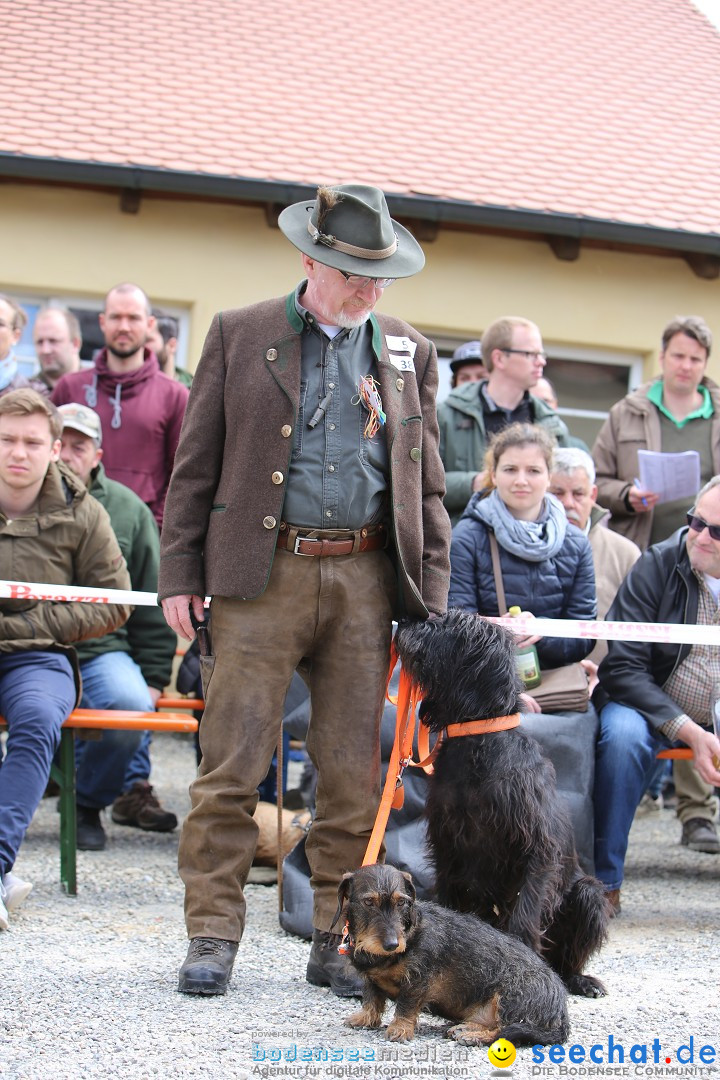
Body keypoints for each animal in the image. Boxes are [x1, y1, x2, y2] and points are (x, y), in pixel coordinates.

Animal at [336, 859, 569, 1045]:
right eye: (368, 902)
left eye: (401, 902)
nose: (392, 944)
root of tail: (561, 1011)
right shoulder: (371, 978)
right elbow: (371, 999)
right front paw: (365, 1018)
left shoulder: (417, 981)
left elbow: (406, 1006)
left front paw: (400, 1028)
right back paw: (466, 1028)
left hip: (513, 997)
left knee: (506, 1031)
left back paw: (473, 1036)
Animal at [395, 609, 608, 993]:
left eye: (451, 626)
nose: (404, 620)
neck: (477, 742)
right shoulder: (448, 848)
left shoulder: (537, 852)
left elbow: (525, 914)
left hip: (588, 893)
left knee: (565, 956)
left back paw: (578, 979)